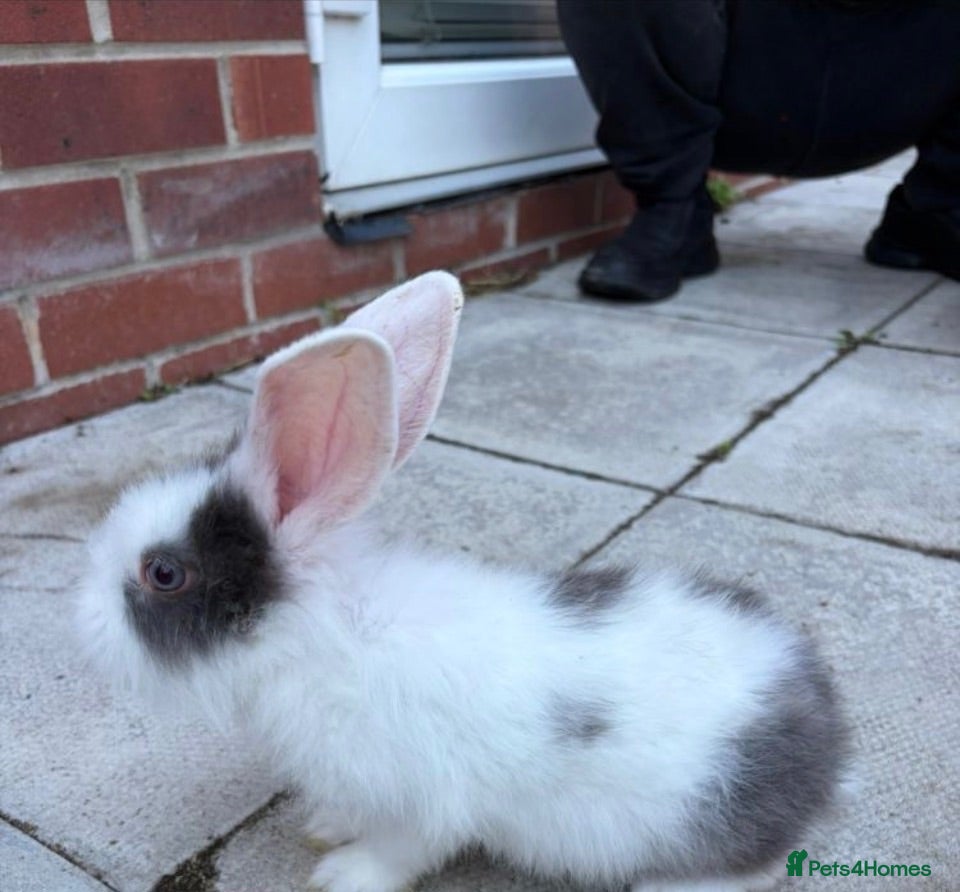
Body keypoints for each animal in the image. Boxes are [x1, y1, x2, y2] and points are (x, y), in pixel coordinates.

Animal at [78, 270, 848, 892]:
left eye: (163, 572)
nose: (81, 618)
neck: (318, 633)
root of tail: (827, 737)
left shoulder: (423, 798)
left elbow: (401, 850)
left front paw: (339, 874)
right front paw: (325, 825)